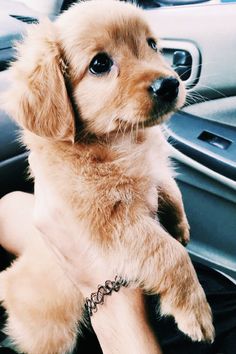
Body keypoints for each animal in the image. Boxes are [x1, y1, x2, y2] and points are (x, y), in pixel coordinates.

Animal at [0, 0, 214, 352]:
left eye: (152, 44)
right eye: (100, 64)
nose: (170, 84)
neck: (119, 142)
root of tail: (9, 280)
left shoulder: (152, 170)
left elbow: (169, 186)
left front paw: (180, 225)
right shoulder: (111, 222)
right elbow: (169, 253)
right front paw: (194, 310)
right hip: (51, 334)